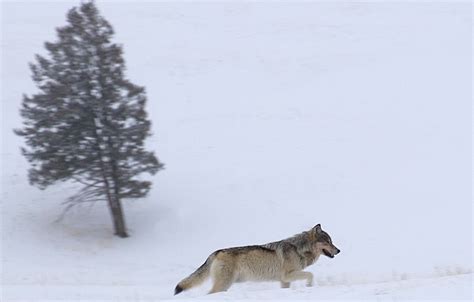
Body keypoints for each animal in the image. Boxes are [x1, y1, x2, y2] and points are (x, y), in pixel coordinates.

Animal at [175, 224, 340, 294]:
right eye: (328, 242)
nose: (339, 250)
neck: (299, 248)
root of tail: (216, 252)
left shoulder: (284, 280)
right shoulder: (288, 275)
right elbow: (311, 274)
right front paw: (309, 286)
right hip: (224, 284)